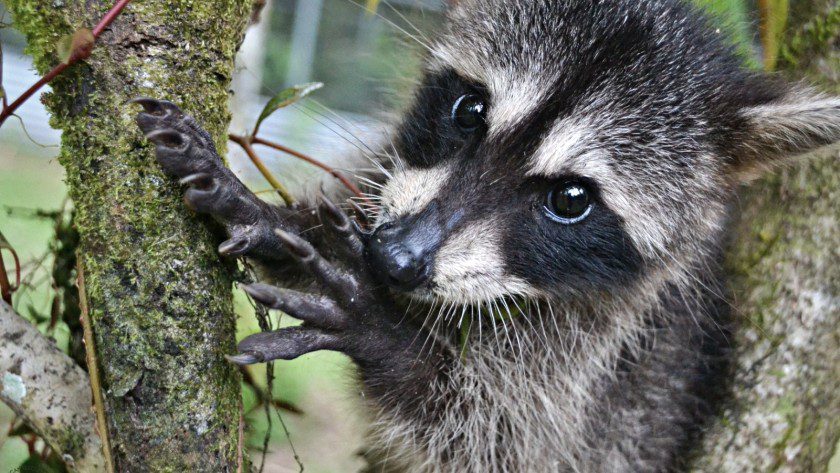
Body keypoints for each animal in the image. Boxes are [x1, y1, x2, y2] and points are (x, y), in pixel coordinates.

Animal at [133, 0, 840, 471]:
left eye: (570, 199)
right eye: (469, 111)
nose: (394, 259)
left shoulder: (608, 364)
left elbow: (498, 438)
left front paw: (389, 340)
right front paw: (276, 221)